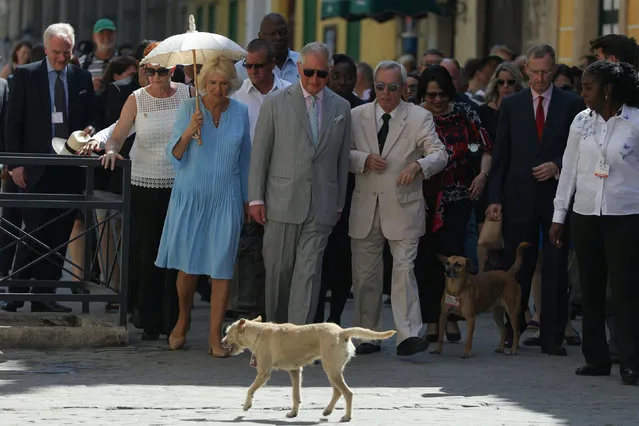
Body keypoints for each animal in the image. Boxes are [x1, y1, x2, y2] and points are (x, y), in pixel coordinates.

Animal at [222, 316, 398, 422]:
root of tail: (341, 332)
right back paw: (327, 411)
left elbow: (250, 389)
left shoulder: (263, 372)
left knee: (347, 393)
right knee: (338, 391)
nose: (222, 342)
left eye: (228, 333)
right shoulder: (295, 371)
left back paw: (346, 416)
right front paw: (293, 413)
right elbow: (296, 395)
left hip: (331, 369)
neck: (259, 332)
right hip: (333, 370)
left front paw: (247, 405)